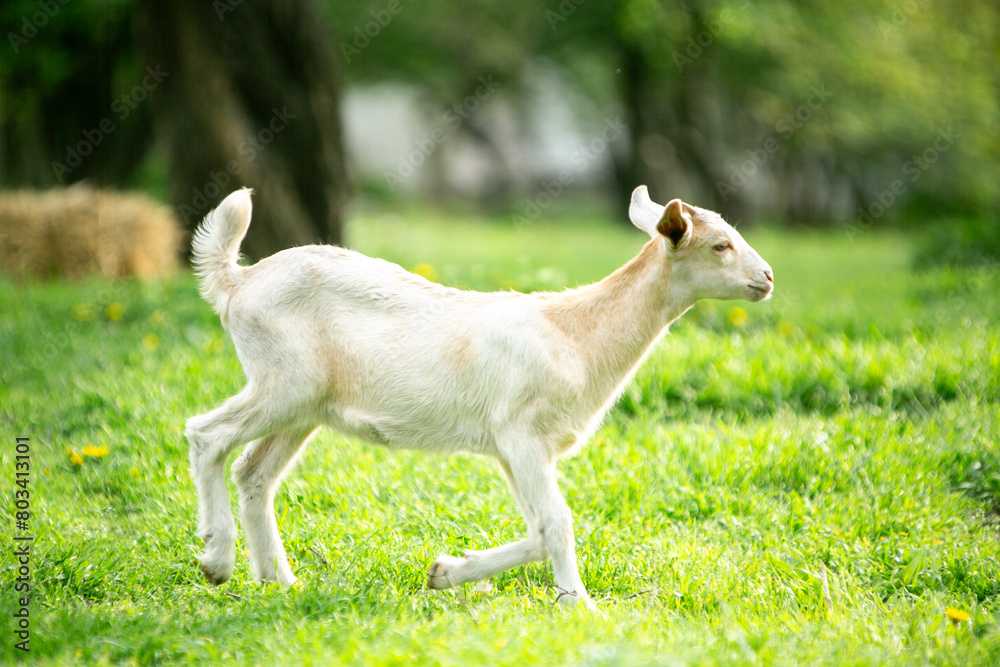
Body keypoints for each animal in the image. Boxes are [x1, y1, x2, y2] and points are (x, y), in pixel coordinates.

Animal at [185, 186, 773, 608]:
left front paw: (445, 573)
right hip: (283, 383)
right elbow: (558, 523)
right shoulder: (522, 434)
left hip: (306, 404)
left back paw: (278, 581)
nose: (767, 277)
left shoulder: (515, 448)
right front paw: (578, 605)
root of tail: (236, 282)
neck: (575, 335)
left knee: (253, 473)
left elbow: (539, 528)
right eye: (720, 245)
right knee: (206, 434)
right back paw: (218, 561)